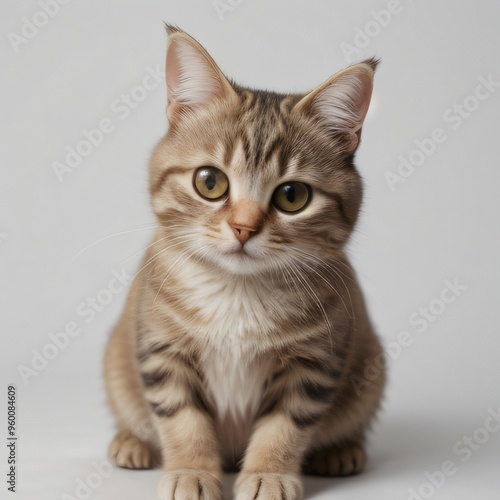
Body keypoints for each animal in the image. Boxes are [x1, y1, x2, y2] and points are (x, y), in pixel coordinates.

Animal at [104, 25, 386, 498]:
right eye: (210, 182)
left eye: (292, 196)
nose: (243, 228)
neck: (237, 293)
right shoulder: (162, 350)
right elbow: (182, 420)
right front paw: (192, 472)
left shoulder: (313, 364)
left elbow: (284, 426)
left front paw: (269, 474)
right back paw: (131, 442)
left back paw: (340, 451)